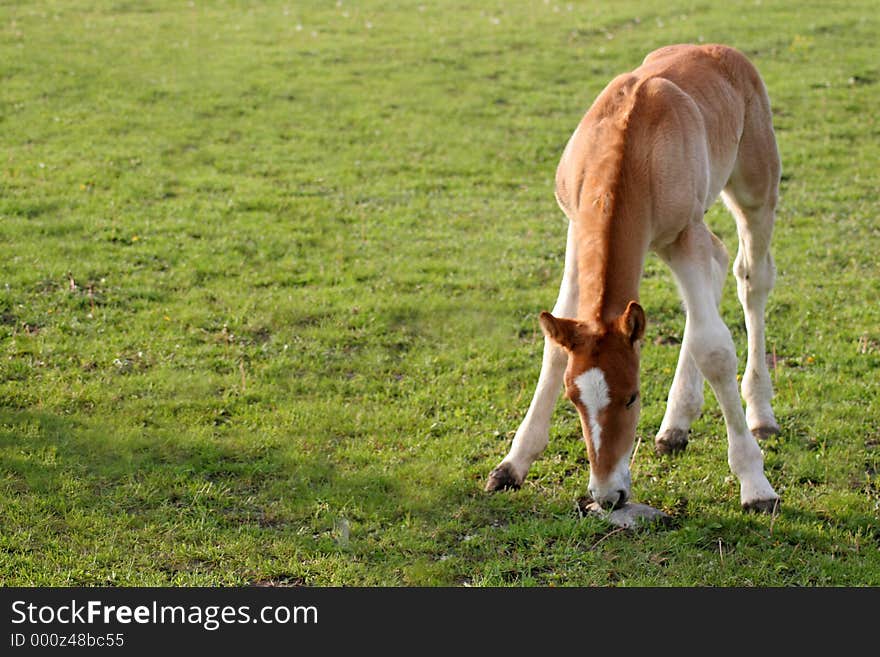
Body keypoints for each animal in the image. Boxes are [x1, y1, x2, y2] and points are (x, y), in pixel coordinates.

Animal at [488, 43, 784, 512]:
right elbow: (555, 345)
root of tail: (722, 51)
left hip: (754, 192)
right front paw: (512, 465)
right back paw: (675, 426)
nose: (608, 495)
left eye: (632, 397)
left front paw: (755, 485)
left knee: (750, 279)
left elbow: (716, 350)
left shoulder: (684, 235)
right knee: (717, 266)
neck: (631, 146)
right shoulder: (577, 231)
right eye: (574, 400)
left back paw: (760, 413)